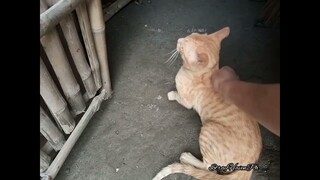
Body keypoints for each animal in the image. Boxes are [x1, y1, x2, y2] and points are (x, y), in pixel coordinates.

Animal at [153, 27, 262, 180]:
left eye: (182, 47)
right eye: (188, 35)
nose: (179, 40)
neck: (210, 71)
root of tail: (249, 164)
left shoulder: (187, 102)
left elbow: (177, 96)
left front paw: (172, 94)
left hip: (207, 130)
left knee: (210, 167)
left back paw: (187, 157)